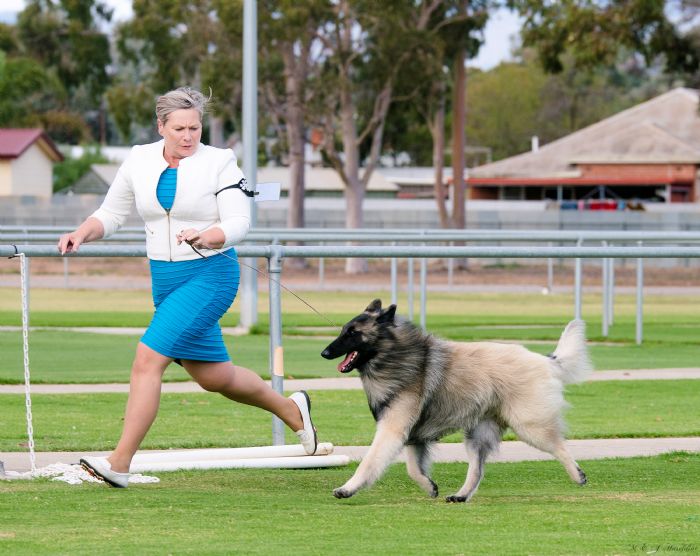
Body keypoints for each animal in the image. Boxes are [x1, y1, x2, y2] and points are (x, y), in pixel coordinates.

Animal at [321, 299, 592, 503]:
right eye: (343, 330)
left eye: (353, 333)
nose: (324, 352)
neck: (396, 356)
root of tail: (545, 360)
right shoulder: (412, 435)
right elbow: (413, 468)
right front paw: (429, 486)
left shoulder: (392, 431)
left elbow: (369, 462)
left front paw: (348, 488)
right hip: (478, 434)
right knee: (477, 469)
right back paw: (461, 495)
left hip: (529, 426)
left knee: (559, 445)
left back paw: (578, 475)